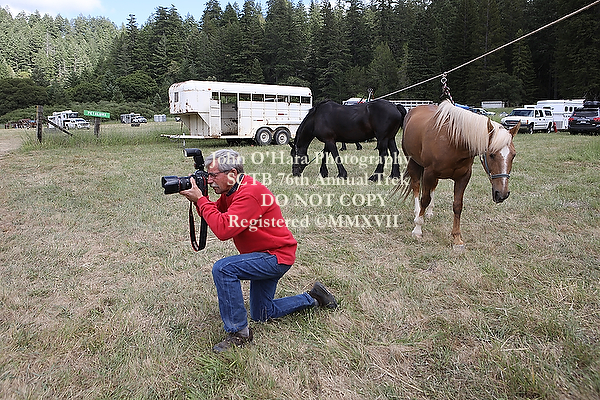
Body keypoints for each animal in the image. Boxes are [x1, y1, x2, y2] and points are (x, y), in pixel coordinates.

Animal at [397, 100, 519, 250]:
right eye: (491, 155)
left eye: (513, 155)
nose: (501, 194)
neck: (454, 141)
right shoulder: (429, 173)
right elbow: (424, 199)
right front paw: (418, 229)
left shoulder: (463, 177)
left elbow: (457, 205)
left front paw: (457, 238)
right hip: (413, 162)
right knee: (416, 186)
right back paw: (417, 212)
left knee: (433, 187)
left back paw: (429, 212)